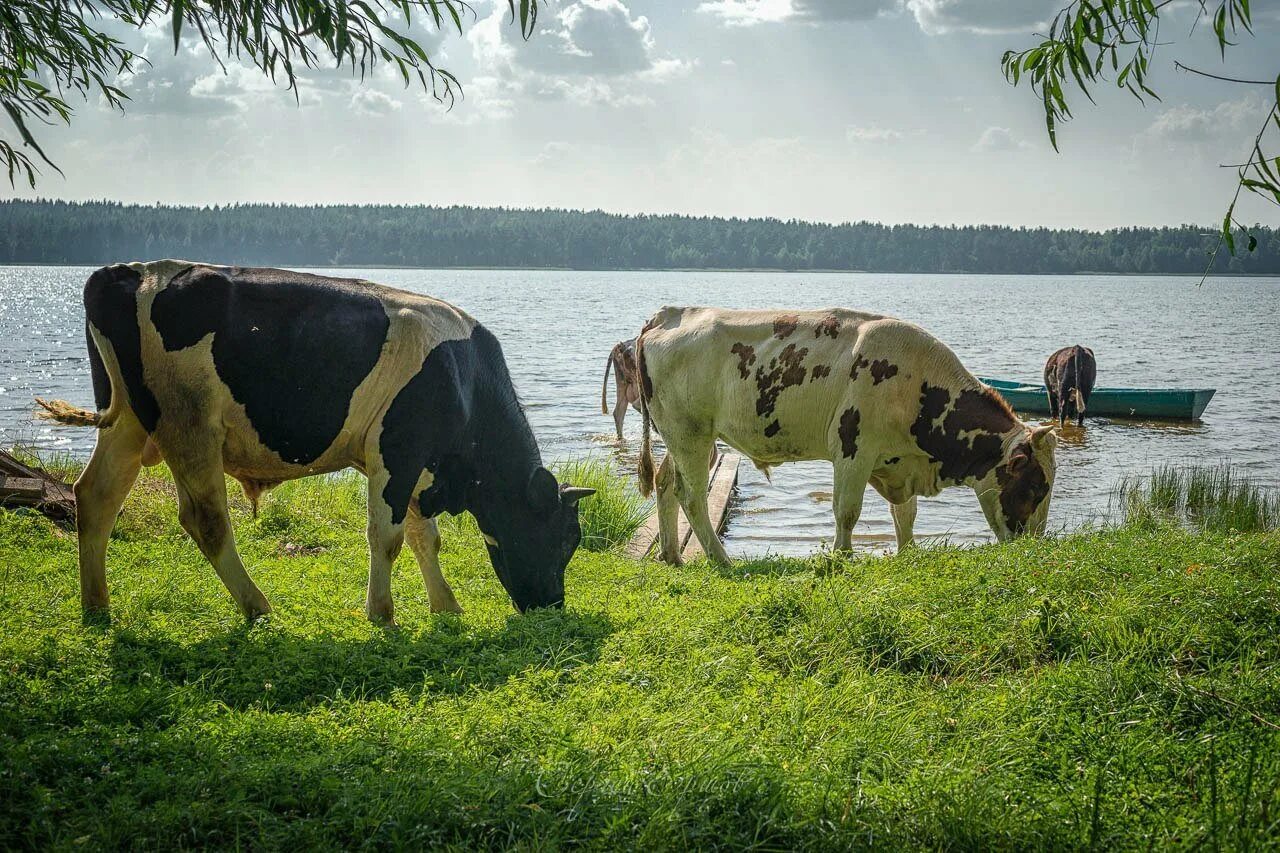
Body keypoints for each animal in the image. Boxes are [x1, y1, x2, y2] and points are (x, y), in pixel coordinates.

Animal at [38, 257, 593, 617]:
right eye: (567, 537)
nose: (552, 605)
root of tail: (125, 271)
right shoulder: (398, 450)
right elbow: (388, 537)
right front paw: (383, 613)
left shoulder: (416, 461)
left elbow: (424, 536)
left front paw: (446, 606)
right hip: (188, 424)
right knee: (206, 520)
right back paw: (257, 606)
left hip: (129, 423)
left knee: (95, 497)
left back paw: (96, 607)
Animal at [632, 307, 1059, 563]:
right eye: (1035, 487)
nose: (1034, 549)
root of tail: (669, 314)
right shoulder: (854, 448)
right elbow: (847, 510)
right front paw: (841, 557)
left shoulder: (897, 459)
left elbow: (906, 513)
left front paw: (908, 554)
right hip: (690, 434)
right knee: (692, 496)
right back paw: (722, 560)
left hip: (683, 437)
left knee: (666, 483)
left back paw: (671, 556)